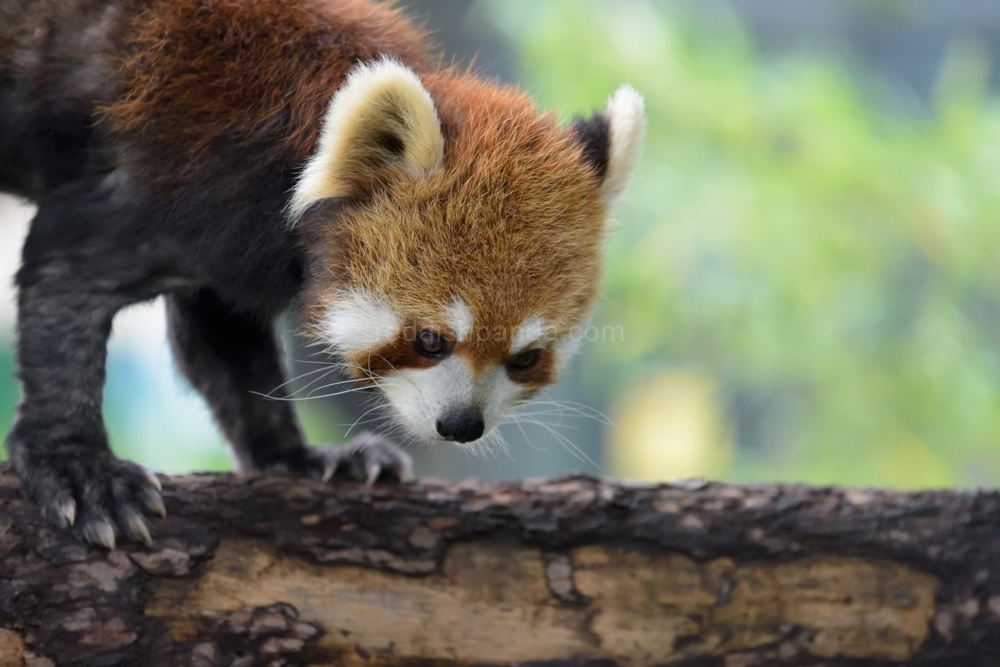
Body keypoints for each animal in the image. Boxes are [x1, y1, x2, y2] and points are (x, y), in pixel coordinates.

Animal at [0, 0, 648, 548]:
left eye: (526, 358)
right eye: (430, 339)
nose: (462, 425)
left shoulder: (229, 253)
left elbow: (222, 346)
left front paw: (299, 458)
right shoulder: (170, 179)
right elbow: (64, 281)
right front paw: (78, 465)